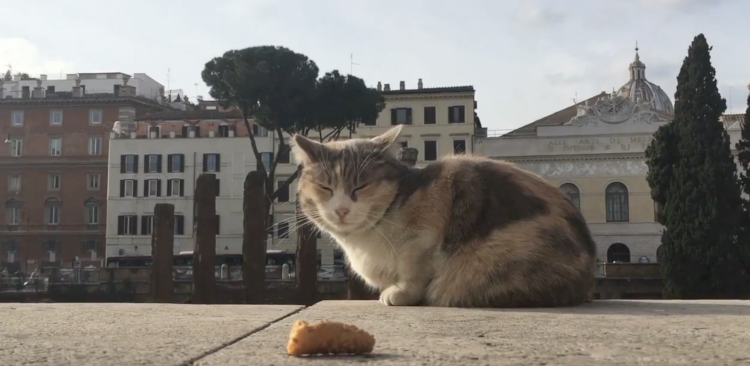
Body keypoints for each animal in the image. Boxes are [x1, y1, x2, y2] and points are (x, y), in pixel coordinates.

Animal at [290, 124, 596, 308]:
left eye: (360, 187)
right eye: (325, 188)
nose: (341, 209)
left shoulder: (428, 225)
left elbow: (415, 269)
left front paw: (401, 293)